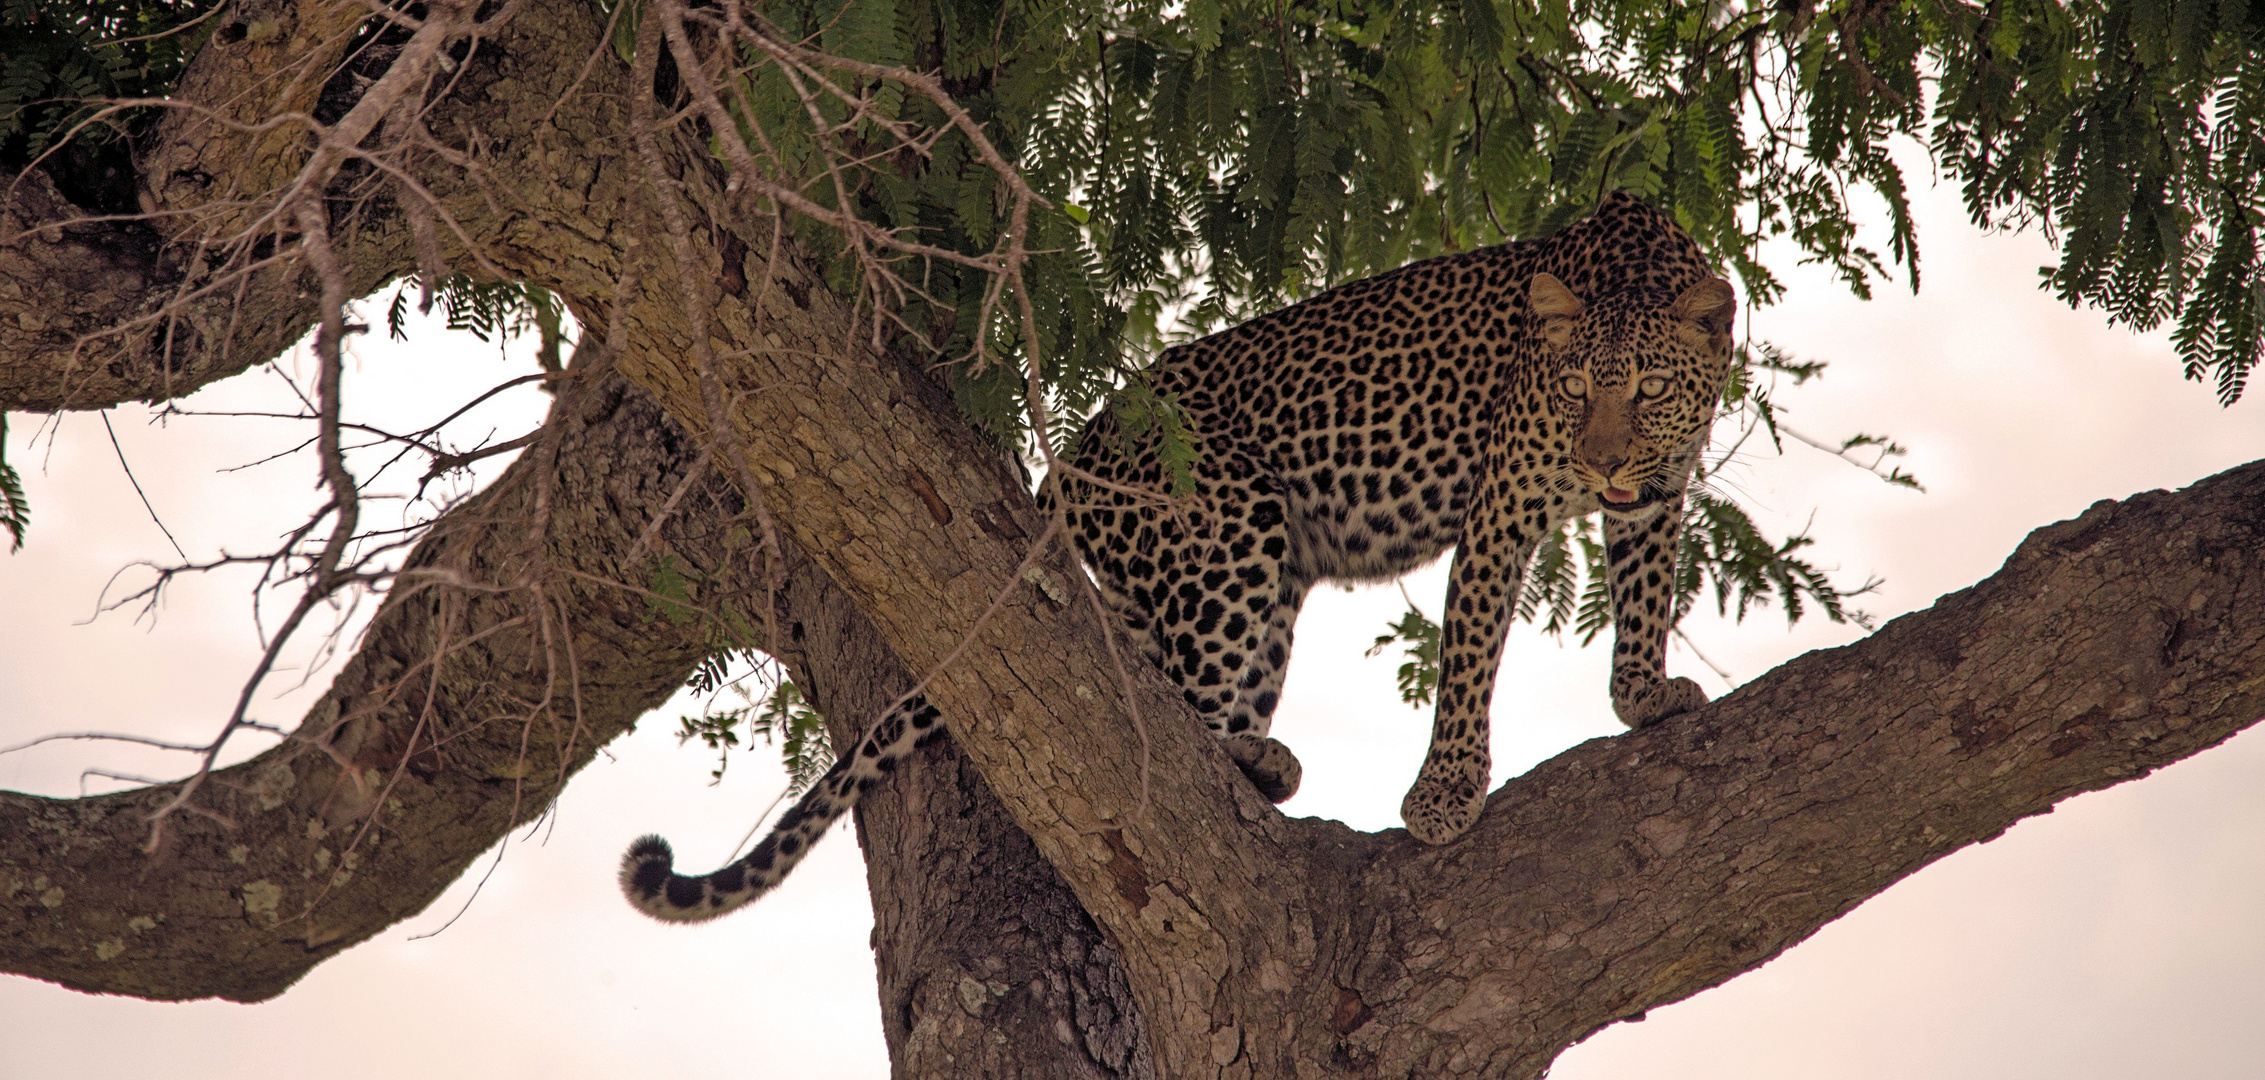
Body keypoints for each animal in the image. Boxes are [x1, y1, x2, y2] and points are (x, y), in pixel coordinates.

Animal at [620, 186, 1730, 919]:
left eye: (1647, 391)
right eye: (1575, 390)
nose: (1600, 461)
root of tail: (1069, 462)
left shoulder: (1657, 495)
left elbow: (1645, 590)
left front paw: (1643, 695)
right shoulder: (1499, 511)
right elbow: (1467, 659)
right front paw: (1447, 794)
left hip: (1233, 581)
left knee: (1173, 700)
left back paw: (1260, 762)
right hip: (1231, 538)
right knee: (1168, 726)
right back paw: (1252, 757)